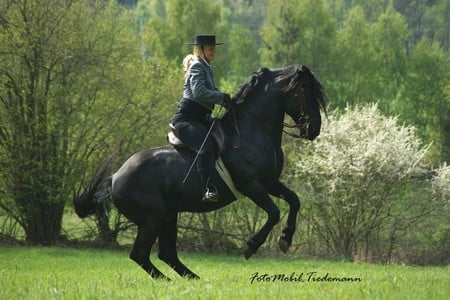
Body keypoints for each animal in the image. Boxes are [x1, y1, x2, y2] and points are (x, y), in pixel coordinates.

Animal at [74, 64, 326, 280]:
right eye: (306, 93)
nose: (314, 129)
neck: (251, 131)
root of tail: (115, 177)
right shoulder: (251, 185)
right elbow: (274, 212)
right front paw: (251, 246)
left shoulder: (270, 183)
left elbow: (294, 201)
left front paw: (286, 239)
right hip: (152, 218)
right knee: (140, 254)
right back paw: (172, 281)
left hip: (169, 216)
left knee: (166, 254)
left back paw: (194, 280)